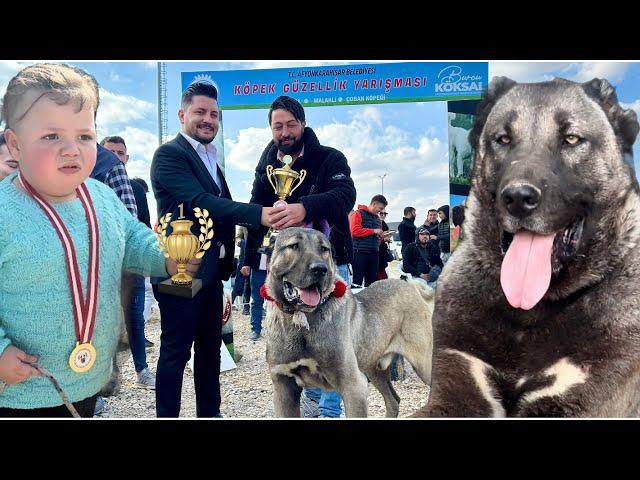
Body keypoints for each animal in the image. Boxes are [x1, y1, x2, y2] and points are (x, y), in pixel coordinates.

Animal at [262, 227, 432, 418]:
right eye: (293, 246)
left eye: (324, 249)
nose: (320, 269)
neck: (302, 320)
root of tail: (411, 286)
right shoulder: (283, 388)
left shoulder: (352, 385)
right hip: (373, 366)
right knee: (393, 400)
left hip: (424, 364)